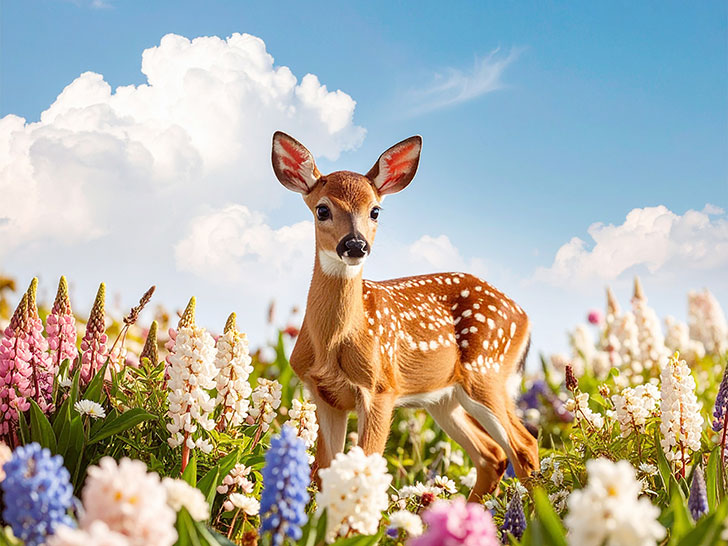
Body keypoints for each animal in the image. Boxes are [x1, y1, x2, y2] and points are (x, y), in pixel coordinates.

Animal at [271, 131, 539, 500]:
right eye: (322, 209)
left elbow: (364, 466)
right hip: (446, 399)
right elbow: (324, 473)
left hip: (487, 372)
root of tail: (525, 316)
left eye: (375, 211)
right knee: (493, 454)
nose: (355, 245)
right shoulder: (323, 395)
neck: (333, 342)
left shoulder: (382, 386)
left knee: (524, 446)